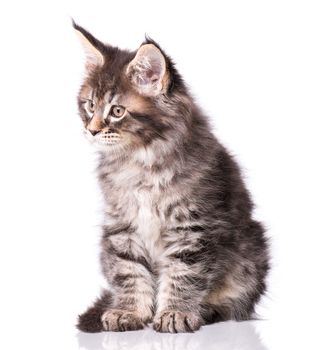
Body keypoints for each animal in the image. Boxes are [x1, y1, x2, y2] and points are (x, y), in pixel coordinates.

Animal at [74, 21, 270, 334]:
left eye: (117, 111)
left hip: (252, 251)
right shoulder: (122, 227)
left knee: (235, 303)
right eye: (90, 105)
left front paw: (175, 313)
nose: (91, 130)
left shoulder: (192, 227)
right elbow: (129, 271)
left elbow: (184, 274)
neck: (139, 162)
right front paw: (129, 312)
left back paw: (207, 310)